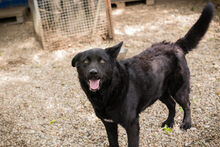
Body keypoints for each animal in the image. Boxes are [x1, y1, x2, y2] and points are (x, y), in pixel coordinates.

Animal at [72, 3, 213, 147]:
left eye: (102, 61)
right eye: (85, 62)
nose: (93, 72)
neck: (108, 91)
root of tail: (175, 45)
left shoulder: (132, 124)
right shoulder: (109, 124)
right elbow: (113, 142)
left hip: (178, 90)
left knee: (187, 104)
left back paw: (187, 124)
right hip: (159, 92)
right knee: (172, 105)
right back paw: (169, 122)